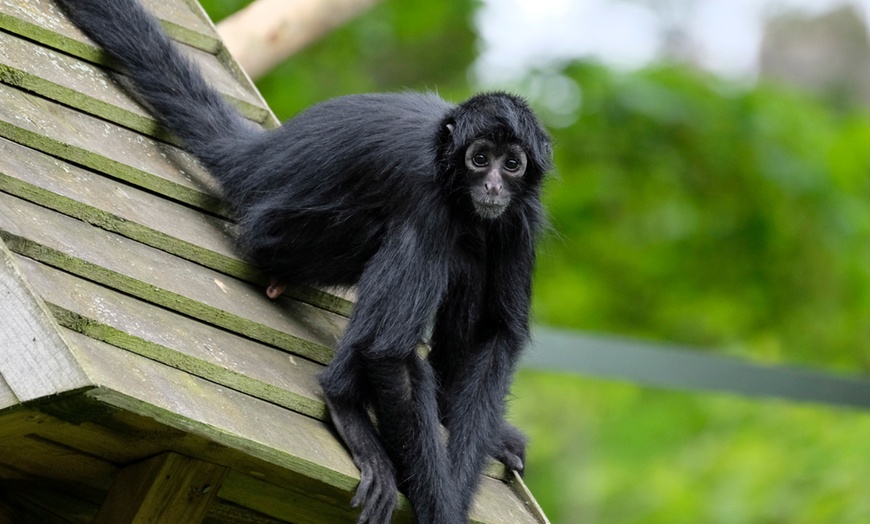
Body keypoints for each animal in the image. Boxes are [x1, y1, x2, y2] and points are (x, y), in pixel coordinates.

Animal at [56, 0, 552, 520]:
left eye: (511, 164)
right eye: (480, 158)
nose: (492, 185)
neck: (450, 171)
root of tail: (262, 158)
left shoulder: (521, 219)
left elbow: (497, 333)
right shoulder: (429, 197)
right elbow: (389, 354)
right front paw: (442, 507)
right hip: (289, 232)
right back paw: (344, 403)